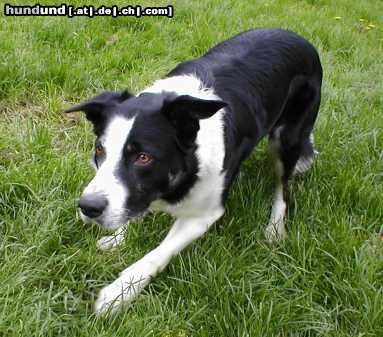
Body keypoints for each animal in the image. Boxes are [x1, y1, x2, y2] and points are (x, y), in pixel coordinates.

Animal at [64, 28, 322, 312]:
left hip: (287, 138)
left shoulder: (203, 215)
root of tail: (299, 37)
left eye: (143, 157)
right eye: (100, 150)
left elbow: (157, 254)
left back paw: (275, 228)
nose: (88, 207)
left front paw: (119, 293)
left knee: (283, 188)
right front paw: (119, 237)